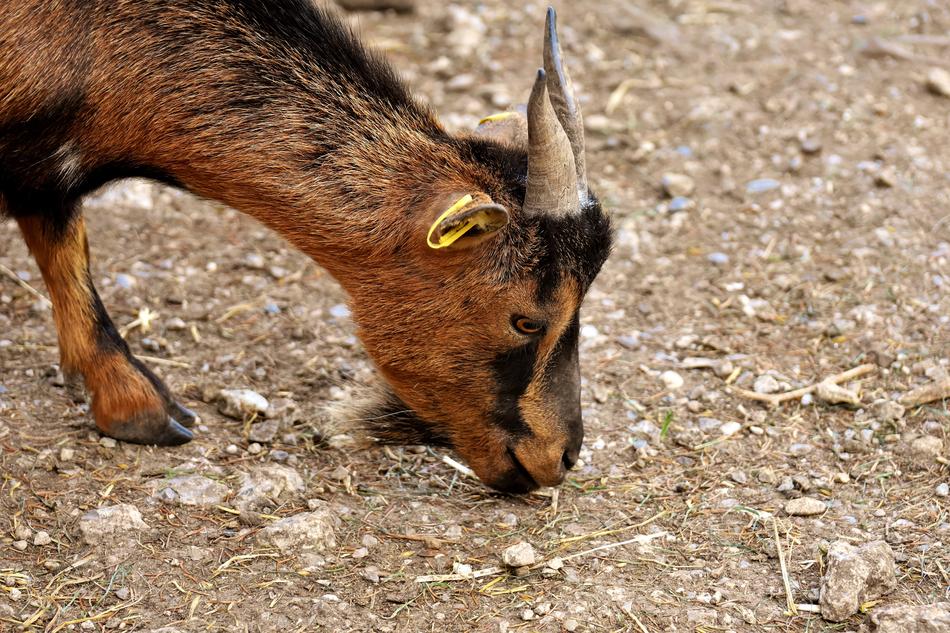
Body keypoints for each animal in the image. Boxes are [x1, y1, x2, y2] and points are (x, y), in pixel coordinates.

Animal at [0, 1, 612, 493]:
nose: (561, 457)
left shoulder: (43, 172)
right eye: (527, 320)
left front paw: (127, 402)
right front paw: (138, 402)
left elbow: (62, 242)